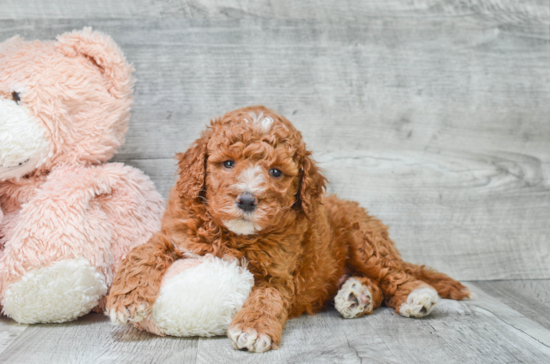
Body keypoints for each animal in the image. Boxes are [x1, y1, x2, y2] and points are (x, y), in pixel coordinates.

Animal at [109, 104, 474, 352]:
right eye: (227, 163)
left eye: (275, 172)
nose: (247, 200)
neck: (233, 235)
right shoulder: (176, 234)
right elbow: (144, 251)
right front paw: (127, 297)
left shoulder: (280, 274)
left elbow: (267, 296)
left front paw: (253, 329)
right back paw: (357, 295)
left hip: (364, 238)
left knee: (393, 273)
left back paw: (416, 296)